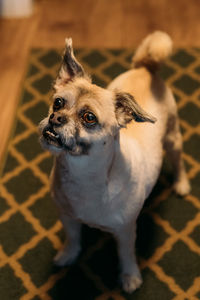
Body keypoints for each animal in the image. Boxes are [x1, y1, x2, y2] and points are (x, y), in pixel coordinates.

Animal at [38, 31, 191, 292]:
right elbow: (73, 239)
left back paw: (181, 184)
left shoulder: (125, 231)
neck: (83, 174)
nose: (55, 118)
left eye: (89, 118)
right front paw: (68, 255)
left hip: (172, 138)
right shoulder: (67, 217)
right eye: (57, 102)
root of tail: (146, 68)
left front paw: (130, 277)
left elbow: (126, 255)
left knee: (178, 160)